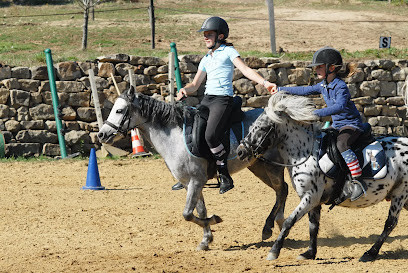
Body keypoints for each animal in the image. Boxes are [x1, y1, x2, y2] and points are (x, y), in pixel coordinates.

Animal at [97, 86, 288, 249]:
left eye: (119, 110)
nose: (101, 134)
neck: (174, 138)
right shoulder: (190, 183)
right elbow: (200, 210)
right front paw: (206, 239)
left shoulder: (196, 181)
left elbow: (187, 214)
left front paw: (215, 220)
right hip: (258, 166)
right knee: (282, 190)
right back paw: (278, 225)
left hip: (272, 167)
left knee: (281, 190)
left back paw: (270, 226)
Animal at [237, 91, 408, 262]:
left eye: (263, 128)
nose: (240, 151)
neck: (305, 152)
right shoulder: (313, 200)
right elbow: (313, 226)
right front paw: (310, 253)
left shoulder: (310, 197)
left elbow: (289, 222)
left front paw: (274, 251)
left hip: (400, 194)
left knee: (390, 223)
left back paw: (370, 253)